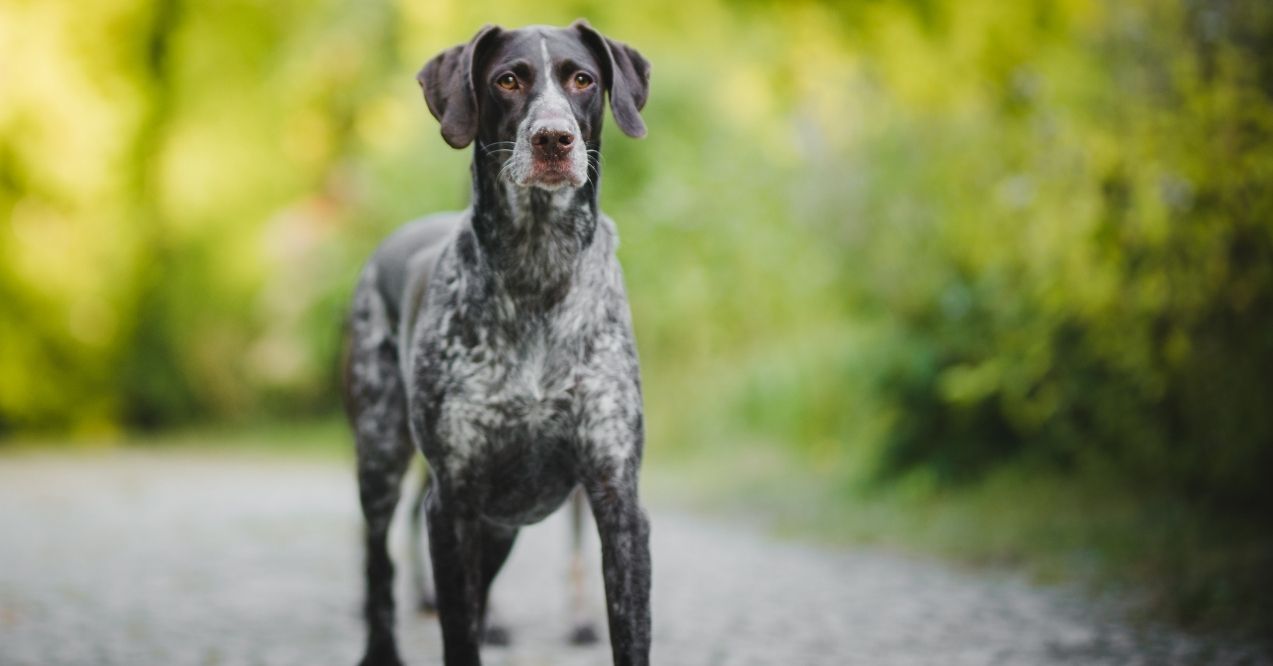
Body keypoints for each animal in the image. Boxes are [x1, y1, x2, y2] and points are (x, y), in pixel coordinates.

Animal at [338, 19, 651, 666]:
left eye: (582, 79)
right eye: (508, 80)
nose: (554, 139)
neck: (538, 266)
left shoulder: (617, 497)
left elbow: (628, 630)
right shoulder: (453, 501)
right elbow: (459, 631)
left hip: (500, 522)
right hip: (380, 455)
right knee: (378, 563)